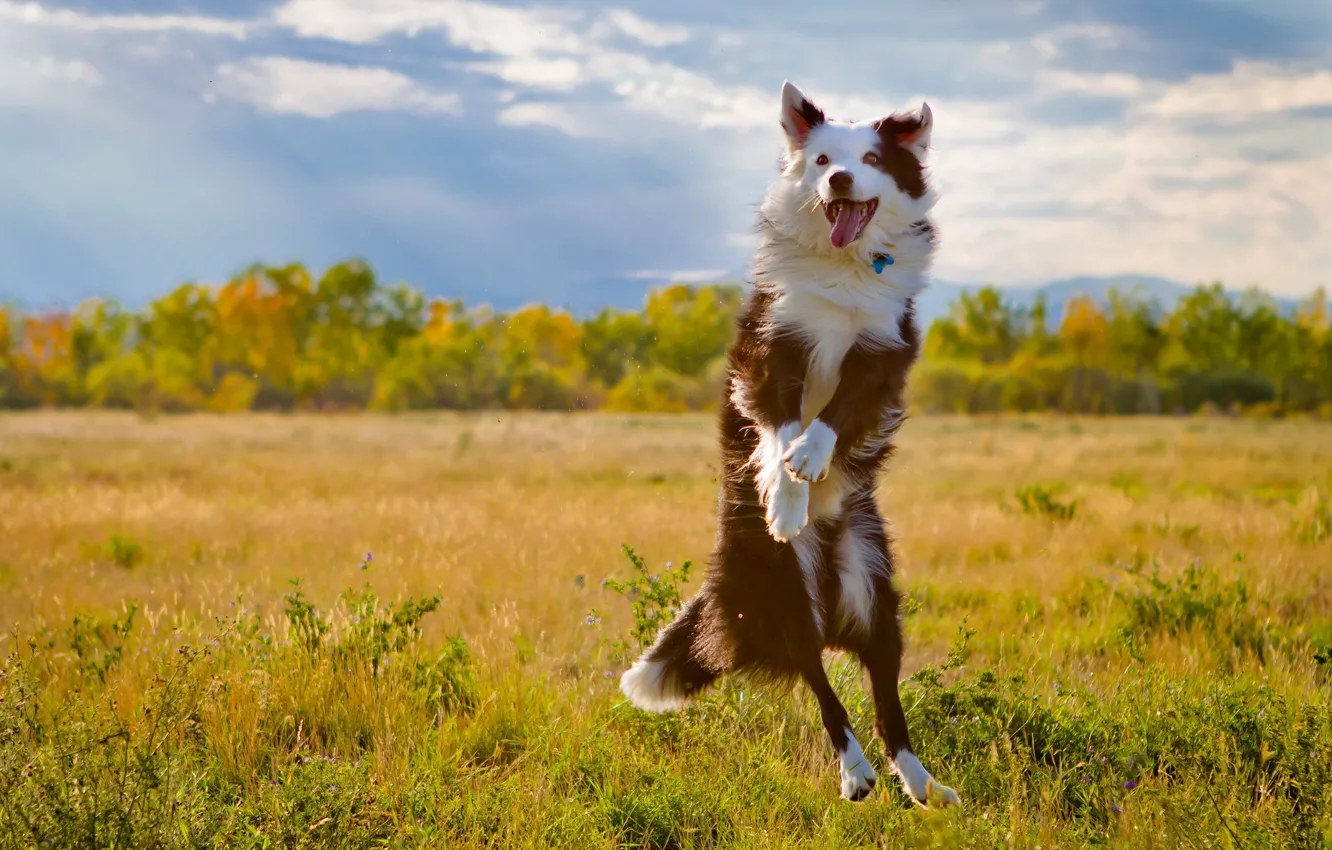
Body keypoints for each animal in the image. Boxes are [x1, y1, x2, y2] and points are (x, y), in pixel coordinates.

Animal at [618, 81, 953, 810]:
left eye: (872, 159)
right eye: (822, 157)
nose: (838, 178)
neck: (843, 266)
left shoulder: (879, 353)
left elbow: (834, 417)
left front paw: (810, 461)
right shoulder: (772, 350)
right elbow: (778, 430)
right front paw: (784, 496)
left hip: (872, 586)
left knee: (884, 694)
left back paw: (920, 782)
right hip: (781, 586)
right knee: (820, 680)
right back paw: (854, 772)